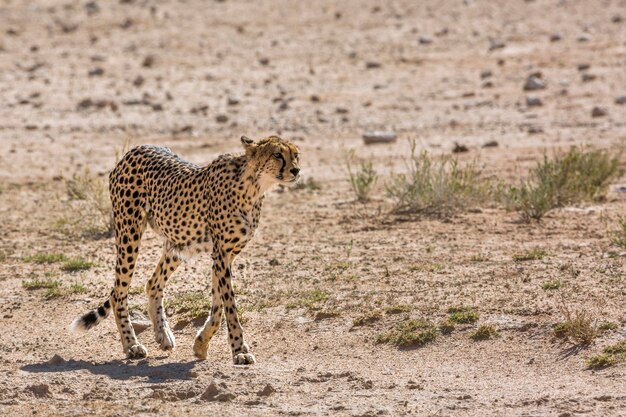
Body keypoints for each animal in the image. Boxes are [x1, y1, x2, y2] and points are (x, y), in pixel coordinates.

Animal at [70, 135, 300, 362]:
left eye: (296, 154)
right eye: (277, 155)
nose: (296, 170)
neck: (253, 186)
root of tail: (136, 148)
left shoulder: (226, 255)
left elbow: (218, 306)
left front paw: (201, 344)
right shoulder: (222, 254)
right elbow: (230, 306)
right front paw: (239, 350)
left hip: (178, 243)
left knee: (152, 284)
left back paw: (163, 334)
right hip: (129, 232)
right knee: (119, 293)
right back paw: (131, 345)